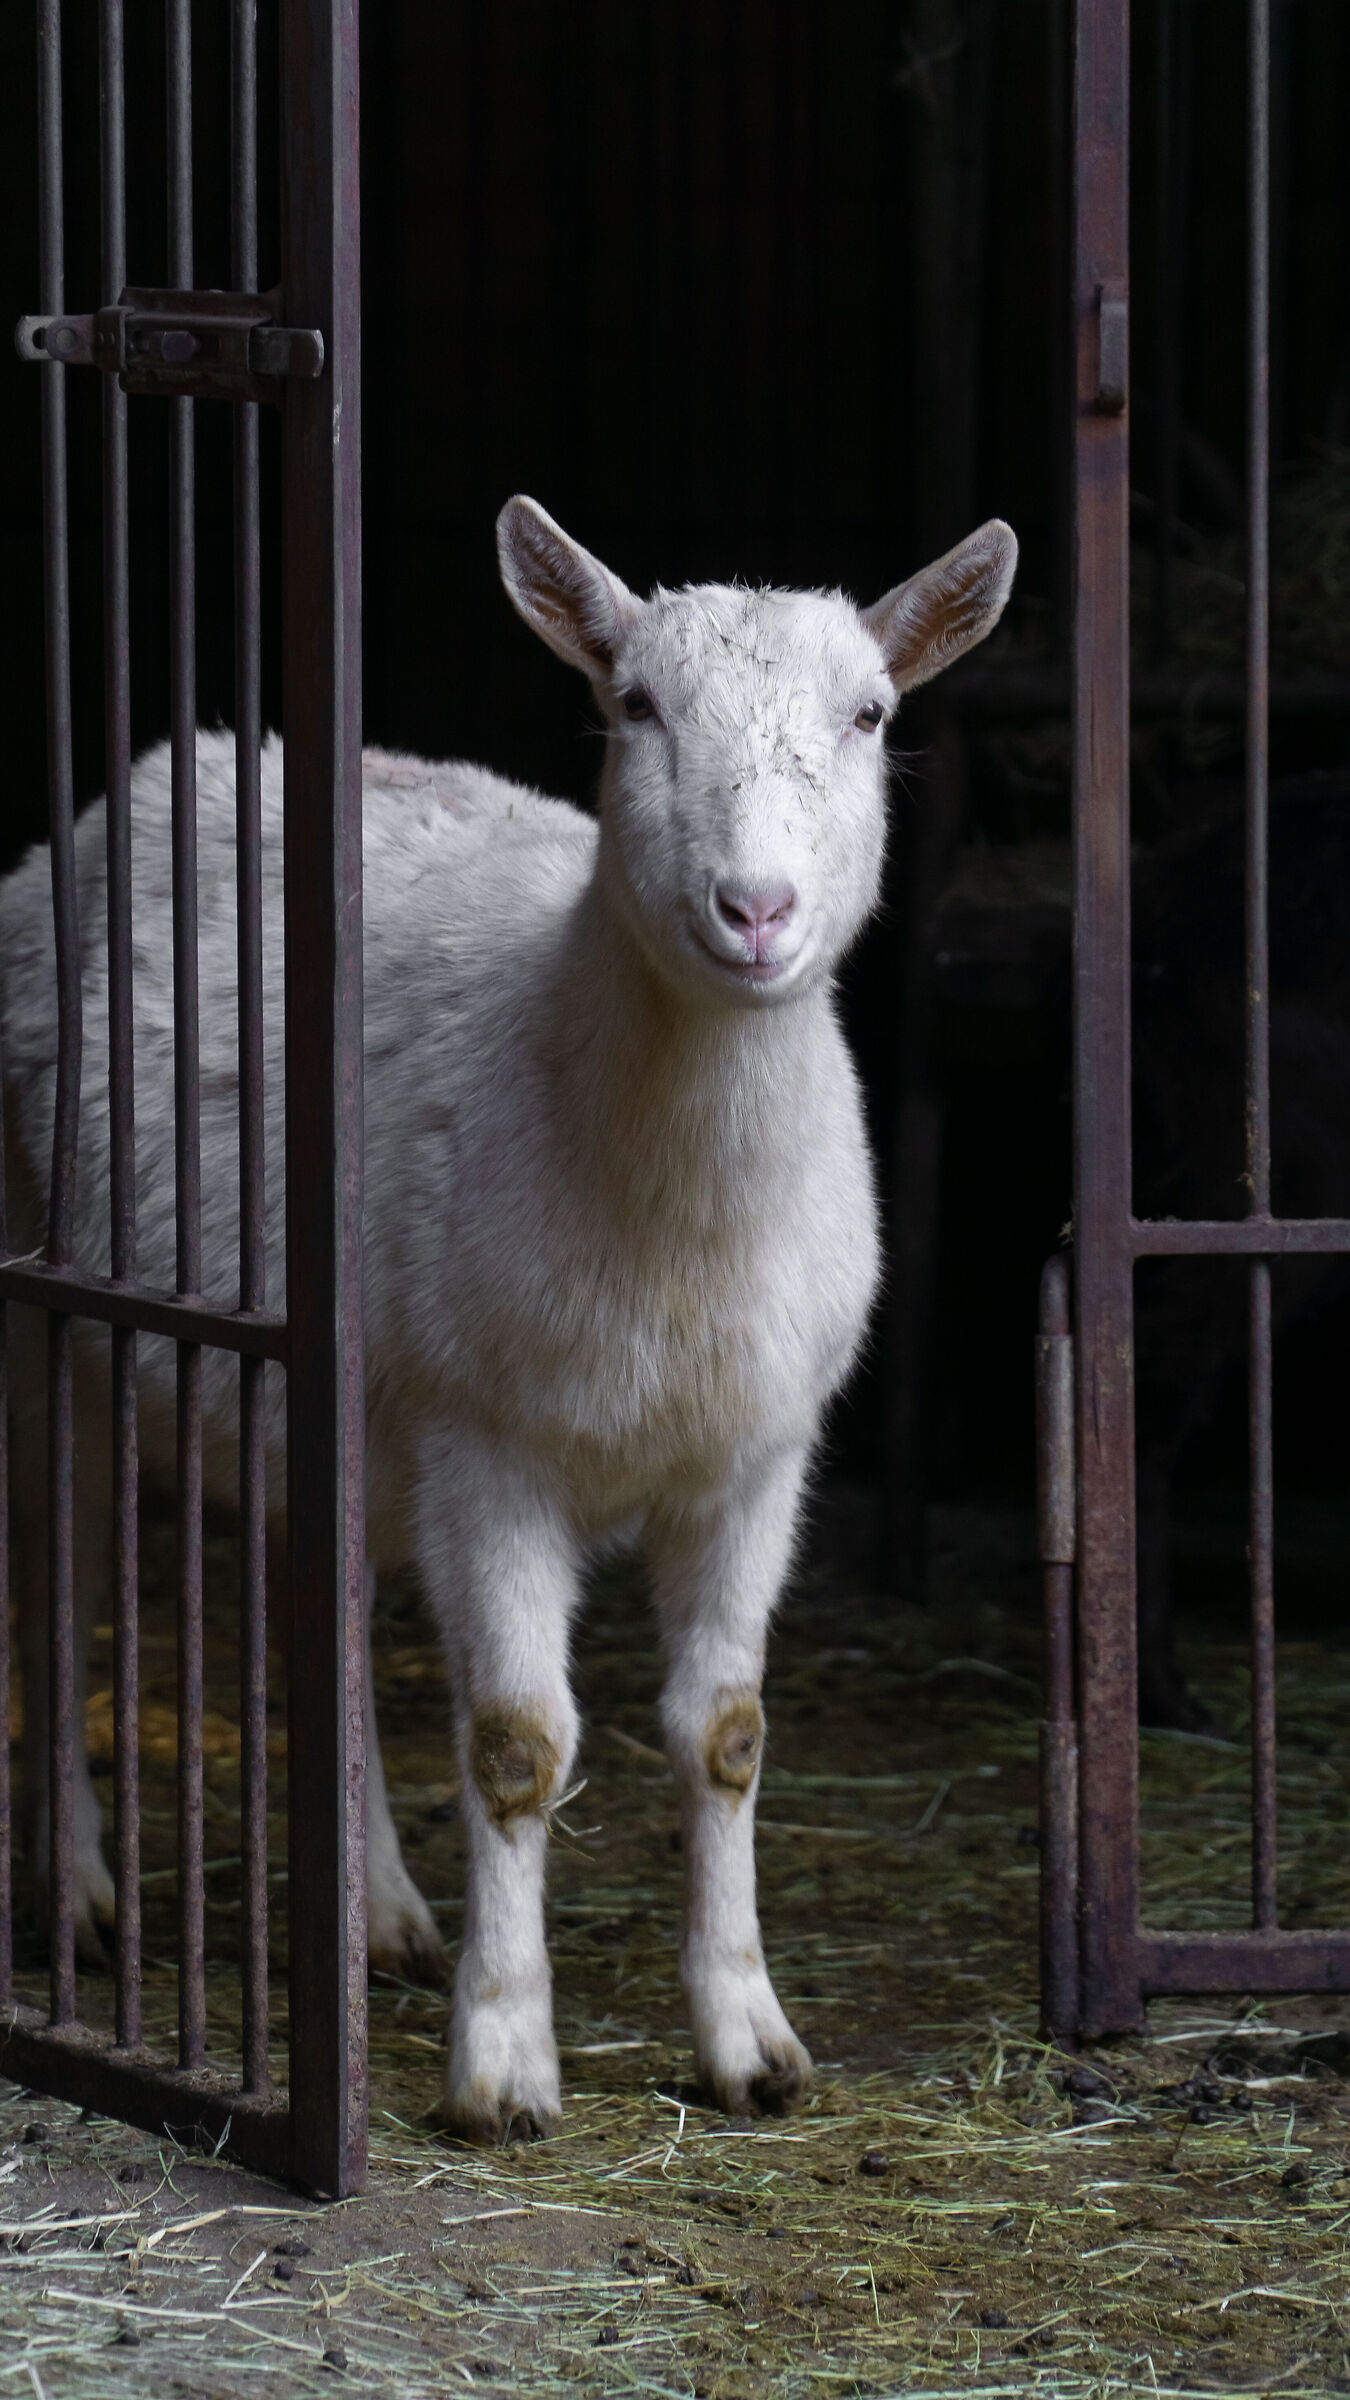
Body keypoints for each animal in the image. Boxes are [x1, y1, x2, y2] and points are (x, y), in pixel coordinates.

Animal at [0, 498, 1016, 2137]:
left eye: (869, 713)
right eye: (635, 704)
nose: (757, 912)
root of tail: (182, 757)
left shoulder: (759, 1449)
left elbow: (727, 1734)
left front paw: (749, 2039)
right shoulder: (488, 1436)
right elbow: (517, 1743)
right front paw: (502, 2063)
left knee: (317, 1607)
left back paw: (376, 1915)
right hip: (49, 1300)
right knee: (59, 1581)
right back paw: (81, 1895)